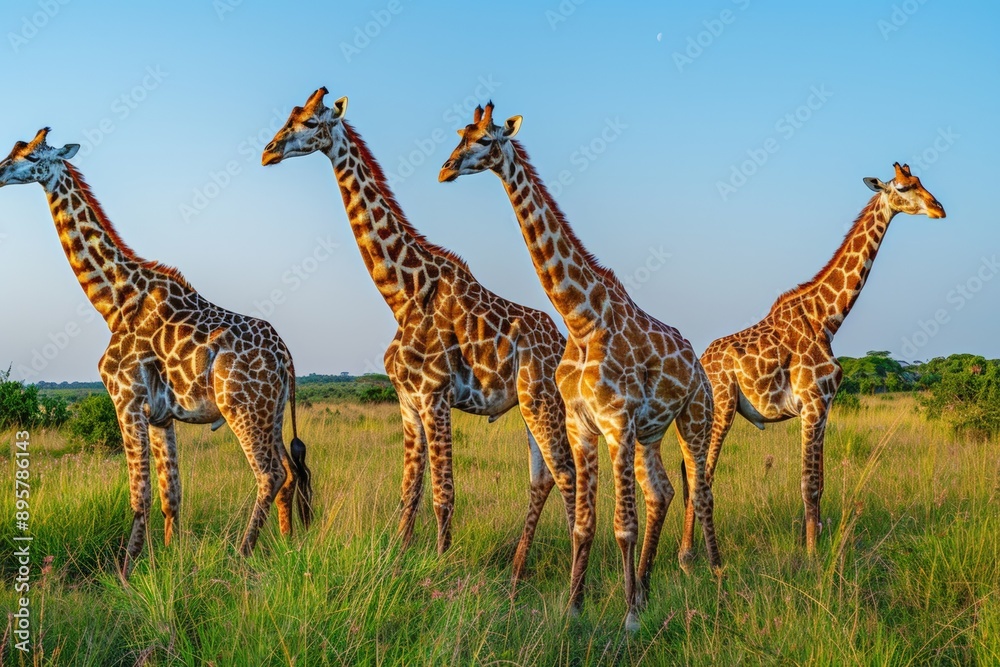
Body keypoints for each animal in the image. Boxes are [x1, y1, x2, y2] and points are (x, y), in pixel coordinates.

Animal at [0, 128, 314, 576]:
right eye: (14, 149)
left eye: (31, 155)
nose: (0, 172)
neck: (114, 301)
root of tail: (286, 356)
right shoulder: (161, 415)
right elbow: (171, 496)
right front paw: (168, 562)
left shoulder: (125, 398)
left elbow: (140, 495)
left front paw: (125, 573)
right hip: (270, 412)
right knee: (288, 472)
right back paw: (287, 549)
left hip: (242, 407)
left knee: (270, 474)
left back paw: (240, 556)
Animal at [261, 88, 576, 583]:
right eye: (289, 116)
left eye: (311, 122)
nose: (268, 151)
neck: (403, 294)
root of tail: (563, 344)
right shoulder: (408, 401)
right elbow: (410, 489)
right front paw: (399, 555)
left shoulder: (435, 396)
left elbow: (443, 493)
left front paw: (442, 565)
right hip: (528, 408)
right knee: (544, 477)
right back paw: (517, 572)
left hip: (546, 404)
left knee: (568, 476)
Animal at [440, 102, 721, 631]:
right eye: (460, 133)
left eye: (486, 140)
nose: (446, 169)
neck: (580, 316)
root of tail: (697, 364)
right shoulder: (582, 425)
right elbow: (586, 524)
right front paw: (575, 607)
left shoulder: (616, 422)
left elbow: (622, 525)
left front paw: (628, 620)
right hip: (651, 433)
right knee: (662, 492)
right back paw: (646, 589)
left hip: (695, 417)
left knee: (701, 488)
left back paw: (714, 575)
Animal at [698, 162, 945, 554]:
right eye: (904, 187)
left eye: (920, 182)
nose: (939, 209)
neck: (827, 318)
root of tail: (701, 361)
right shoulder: (813, 403)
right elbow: (809, 484)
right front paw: (813, 556)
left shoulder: (825, 407)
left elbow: (820, 482)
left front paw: (809, 545)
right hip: (721, 407)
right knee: (702, 476)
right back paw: (697, 558)